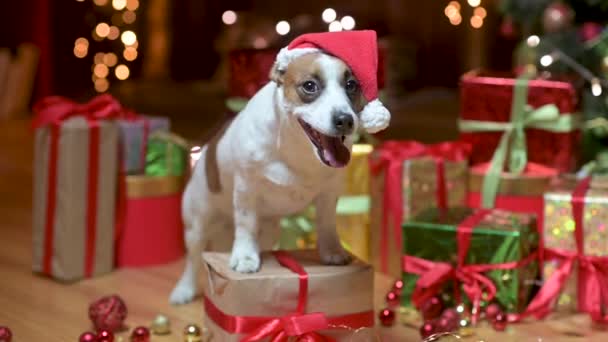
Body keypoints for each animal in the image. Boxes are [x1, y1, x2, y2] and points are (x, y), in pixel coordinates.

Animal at [171, 30, 390, 304]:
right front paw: (245, 256)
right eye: (309, 86)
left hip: (268, 231)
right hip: (197, 222)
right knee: (193, 259)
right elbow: (245, 225)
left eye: (351, 85)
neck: (296, 148)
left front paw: (332, 250)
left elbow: (327, 224)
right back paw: (184, 289)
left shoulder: (329, 195)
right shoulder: (246, 190)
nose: (345, 120)